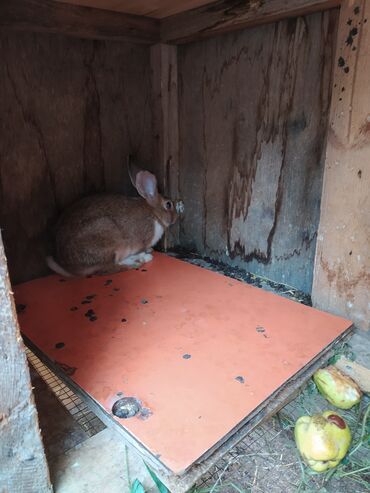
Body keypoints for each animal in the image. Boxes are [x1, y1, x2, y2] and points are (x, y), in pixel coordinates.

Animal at [46, 159, 178, 276]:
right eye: (168, 204)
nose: (176, 217)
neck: (154, 213)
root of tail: (69, 267)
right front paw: (146, 253)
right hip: (111, 243)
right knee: (108, 268)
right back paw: (139, 260)